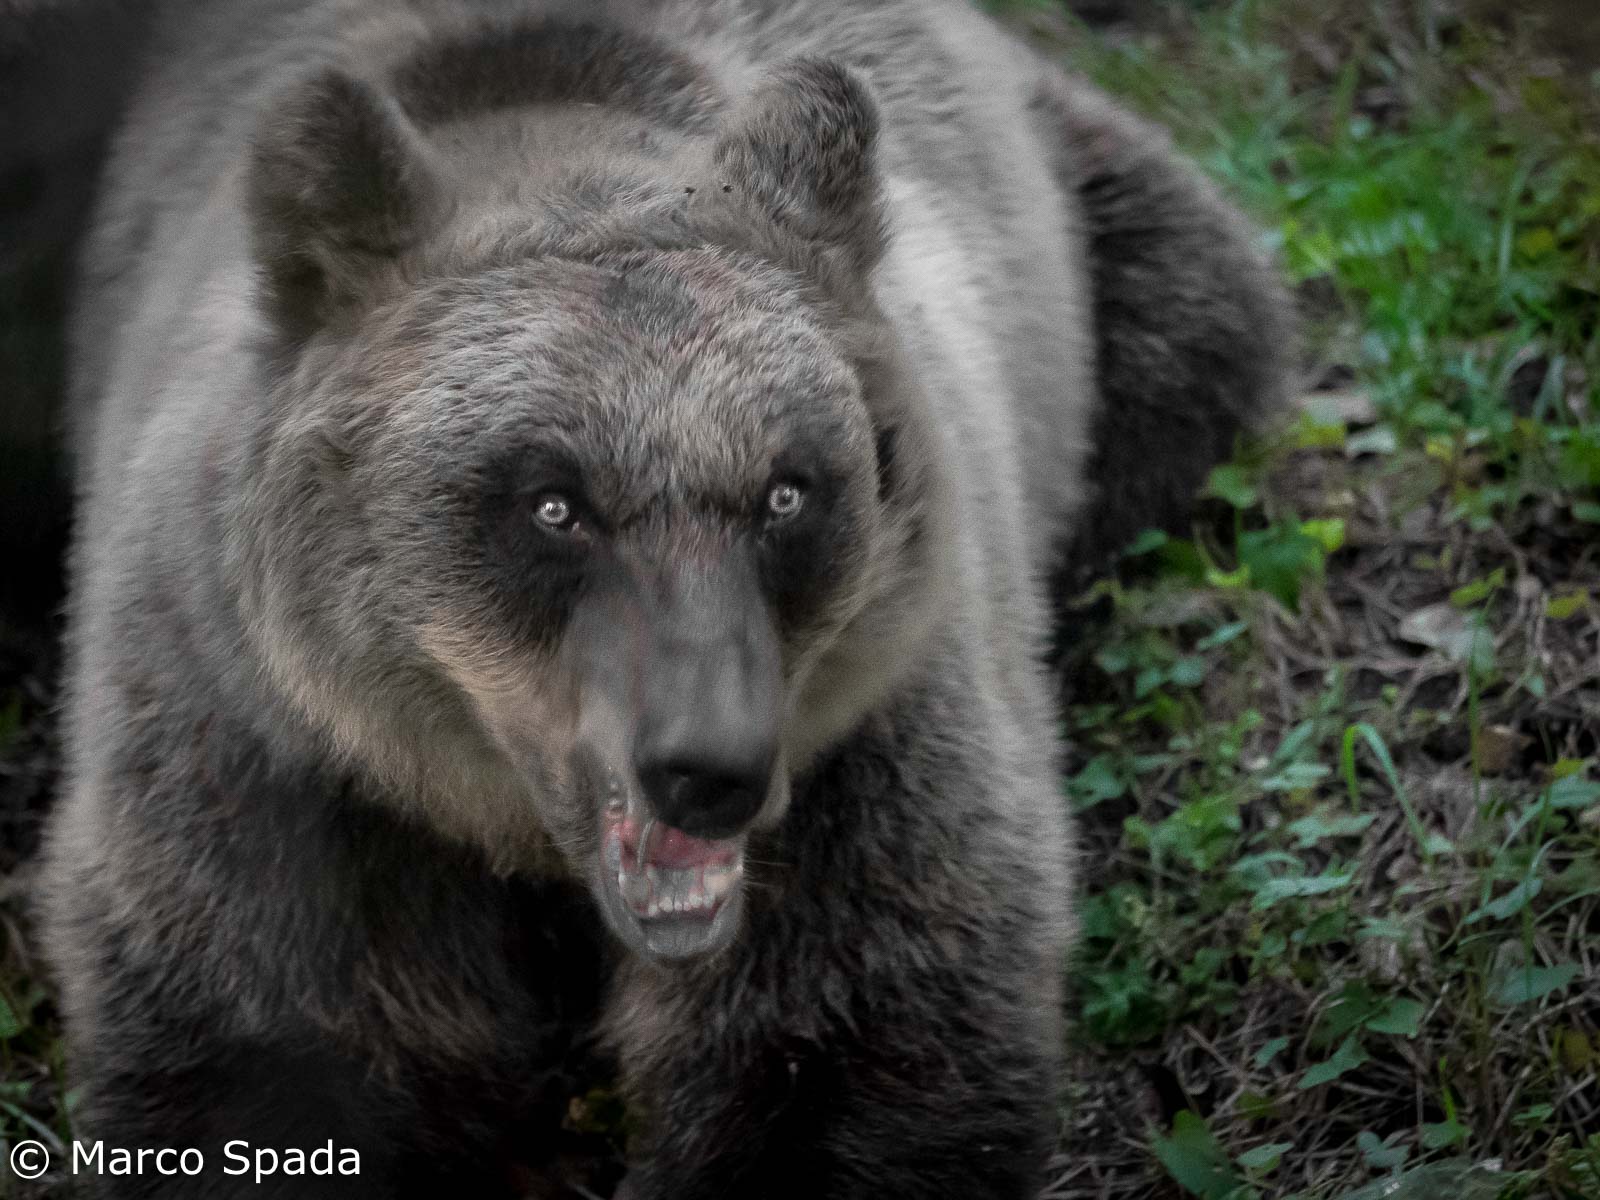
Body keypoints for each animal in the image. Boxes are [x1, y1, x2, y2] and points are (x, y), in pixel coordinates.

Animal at [41, 0, 1290, 1197]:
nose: (710, 767)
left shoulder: (865, 736)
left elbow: (851, 1042)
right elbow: (268, 1051)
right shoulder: (278, 768)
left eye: (788, 490)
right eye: (552, 503)